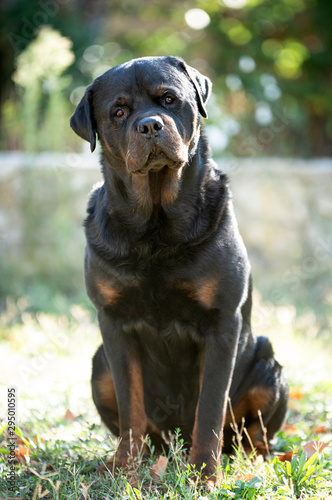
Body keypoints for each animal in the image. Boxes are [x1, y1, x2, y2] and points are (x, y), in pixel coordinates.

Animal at [70, 55, 288, 484]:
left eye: (169, 99)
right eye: (118, 112)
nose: (150, 125)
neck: (156, 225)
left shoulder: (222, 323)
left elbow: (210, 408)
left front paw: (204, 472)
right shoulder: (114, 322)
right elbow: (131, 405)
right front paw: (123, 466)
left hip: (267, 365)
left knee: (253, 433)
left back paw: (254, 462)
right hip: (99, 363)